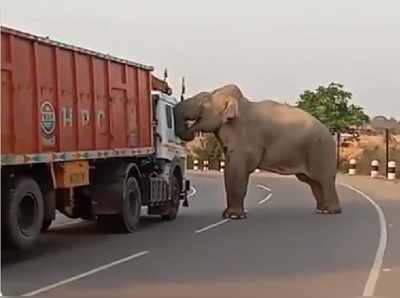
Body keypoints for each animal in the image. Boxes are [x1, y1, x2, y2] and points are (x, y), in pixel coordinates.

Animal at [173, 84, 342, 219]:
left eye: (204, 102)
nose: (190, 131)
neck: (239, 104)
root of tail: (329, 132)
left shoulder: (246, 138)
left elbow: (238, 171)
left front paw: (234, 216)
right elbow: (229, 170)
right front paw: (227, 214)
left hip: (321, 150)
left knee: (324, 180)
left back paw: (332, 211)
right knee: (313, 182)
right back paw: (322, 210)